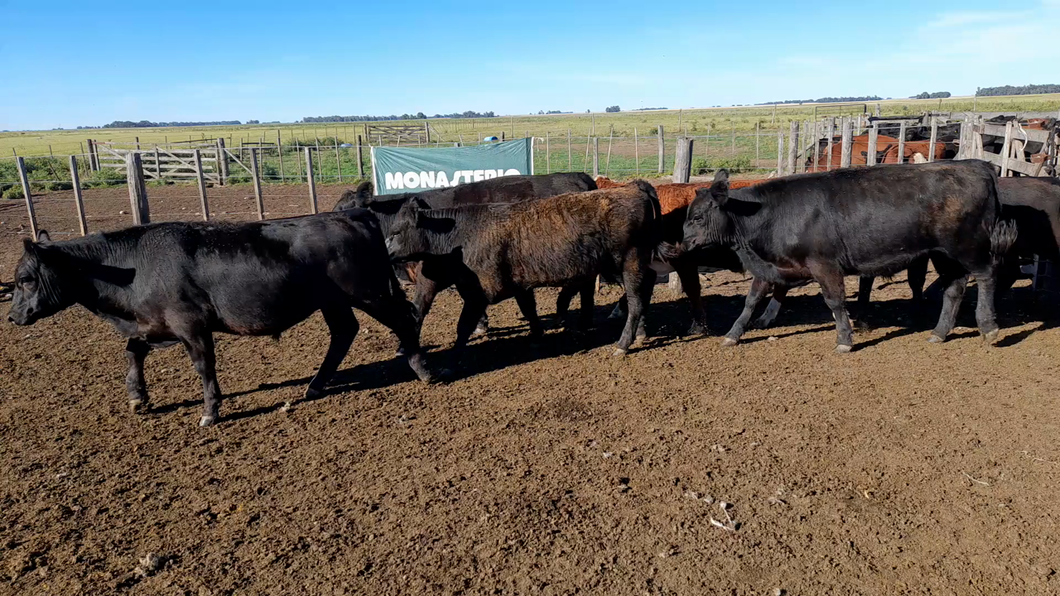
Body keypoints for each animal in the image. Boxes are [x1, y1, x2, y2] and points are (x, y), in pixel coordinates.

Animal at [6, 211, 435, 427]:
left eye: (25, 278)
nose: (12, 316)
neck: (132, 267)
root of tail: (354, 217)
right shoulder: (152, 324)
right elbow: (133, 350)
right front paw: (137, 397)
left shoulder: (190, 326)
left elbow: (204, 367)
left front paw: (209, 411)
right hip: (335, 301)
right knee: (345, 332)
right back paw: (315, 386)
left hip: (367, 292)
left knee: (404, 318)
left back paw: (422, 368)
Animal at [384, 181, 662, 358]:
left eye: (396, 232)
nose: (384, 253)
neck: (463, 235)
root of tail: (633, 187)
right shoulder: (519, 284)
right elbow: (529, 310)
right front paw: (537, 336)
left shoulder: (480, 293)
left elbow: (463, 325)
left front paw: (455, 355)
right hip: (621, 265)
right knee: (642, 290)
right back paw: (640, 332)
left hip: (628, 262)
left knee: (636, 299)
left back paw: (623, 343)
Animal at [680, 161, 1017, 352]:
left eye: (697, 217)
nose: (684, 243)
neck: (771, 214)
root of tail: (979, 168)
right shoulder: (768, 268)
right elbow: (750, 303)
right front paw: (733, 335)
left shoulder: (825, 266)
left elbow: (835, 302)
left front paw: (844, 339)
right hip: (944, 255)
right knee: (954, 289)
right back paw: (939, 332)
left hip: (967, 246)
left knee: (987, 275)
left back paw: (989, 327)